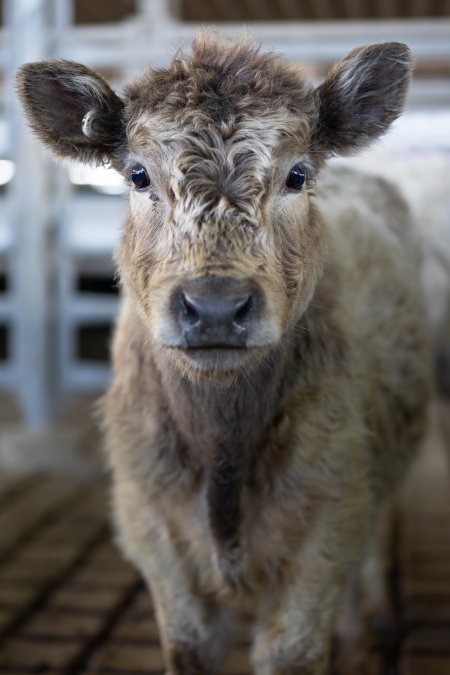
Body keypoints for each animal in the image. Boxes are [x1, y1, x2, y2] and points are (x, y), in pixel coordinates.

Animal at [16, 31, 432, 675]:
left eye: (297, 174)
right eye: (138, 174)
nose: (215, 306)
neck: (223, 454)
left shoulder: (327, 527)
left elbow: (295, 649)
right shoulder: (154, 535)